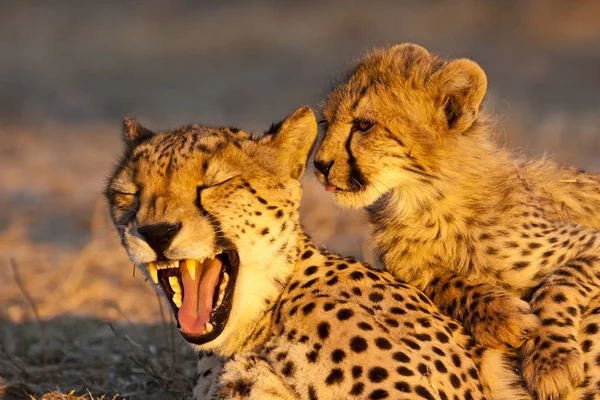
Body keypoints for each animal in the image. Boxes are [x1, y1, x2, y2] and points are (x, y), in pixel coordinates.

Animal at [314, 42, 600, 398]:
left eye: (364, 125)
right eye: (325, 122)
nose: (319, 164)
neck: (425, 204)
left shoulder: (590, 242)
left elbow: (556, 286)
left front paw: (552, 363)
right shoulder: (409, 268)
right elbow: (442, 280)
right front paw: (501, 317)